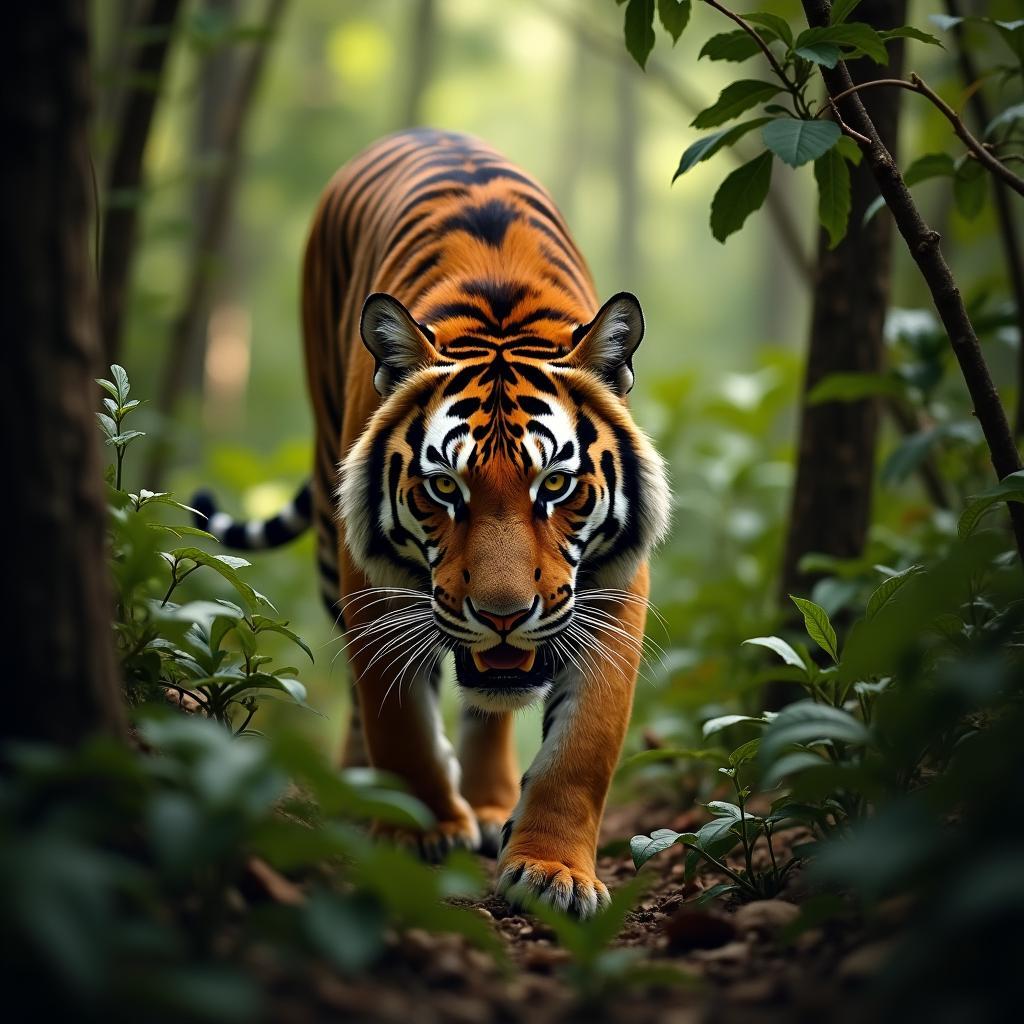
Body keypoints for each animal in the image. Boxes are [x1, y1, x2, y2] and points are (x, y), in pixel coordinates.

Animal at [193, 130, 671, 921]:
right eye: (444, 487)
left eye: (556, 484)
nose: (503, 615)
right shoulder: (370, 576)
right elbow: (397, 717)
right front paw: (417, 832)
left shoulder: (615, 583)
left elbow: (584, 748)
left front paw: (553, 872)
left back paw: (490, 801)